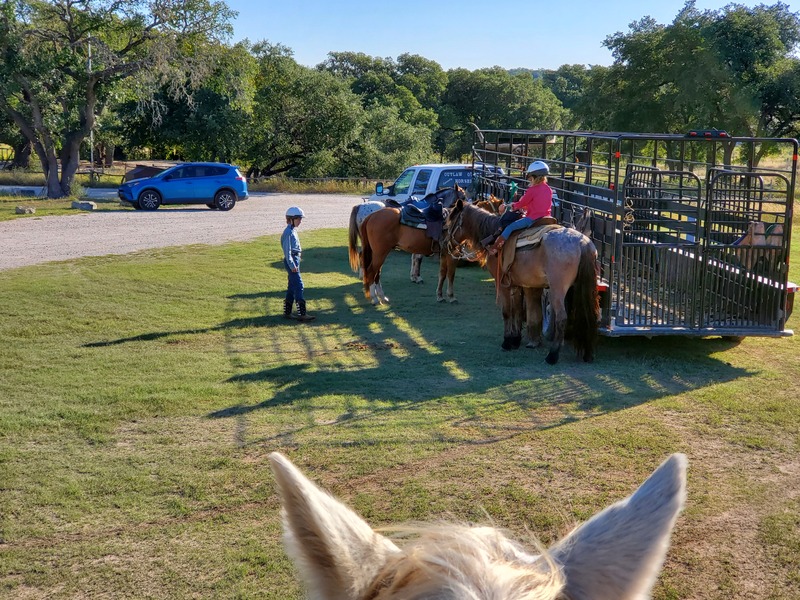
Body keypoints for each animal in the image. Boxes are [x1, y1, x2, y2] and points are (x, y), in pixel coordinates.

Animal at [444, 199, 600, 364]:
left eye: (451, 222)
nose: (447, 244)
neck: (492, 236)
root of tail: (583, 243)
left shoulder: (502, 284)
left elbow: (507, 311)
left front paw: (507, 341)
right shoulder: (518, 285)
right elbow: (517, 311)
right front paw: (516, 340)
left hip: (557, 290)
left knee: (562, 318)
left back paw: (552, 355)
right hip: (581, 288)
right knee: (588, 315)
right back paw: (587, 354)